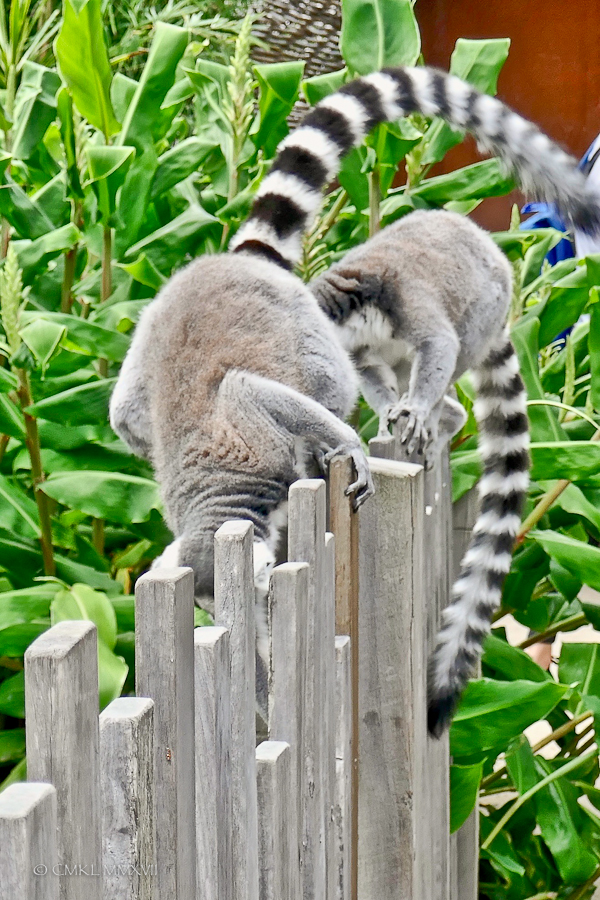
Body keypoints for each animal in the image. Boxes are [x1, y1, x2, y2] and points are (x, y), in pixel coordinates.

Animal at [310, 209, 528, 734]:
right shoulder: (362, 352)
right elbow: (370, 374)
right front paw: (390, 409)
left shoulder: (408, 301)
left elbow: (438, 344)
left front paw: (414, 411)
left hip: (486, 308)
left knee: (455, 350)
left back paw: (438, 416)